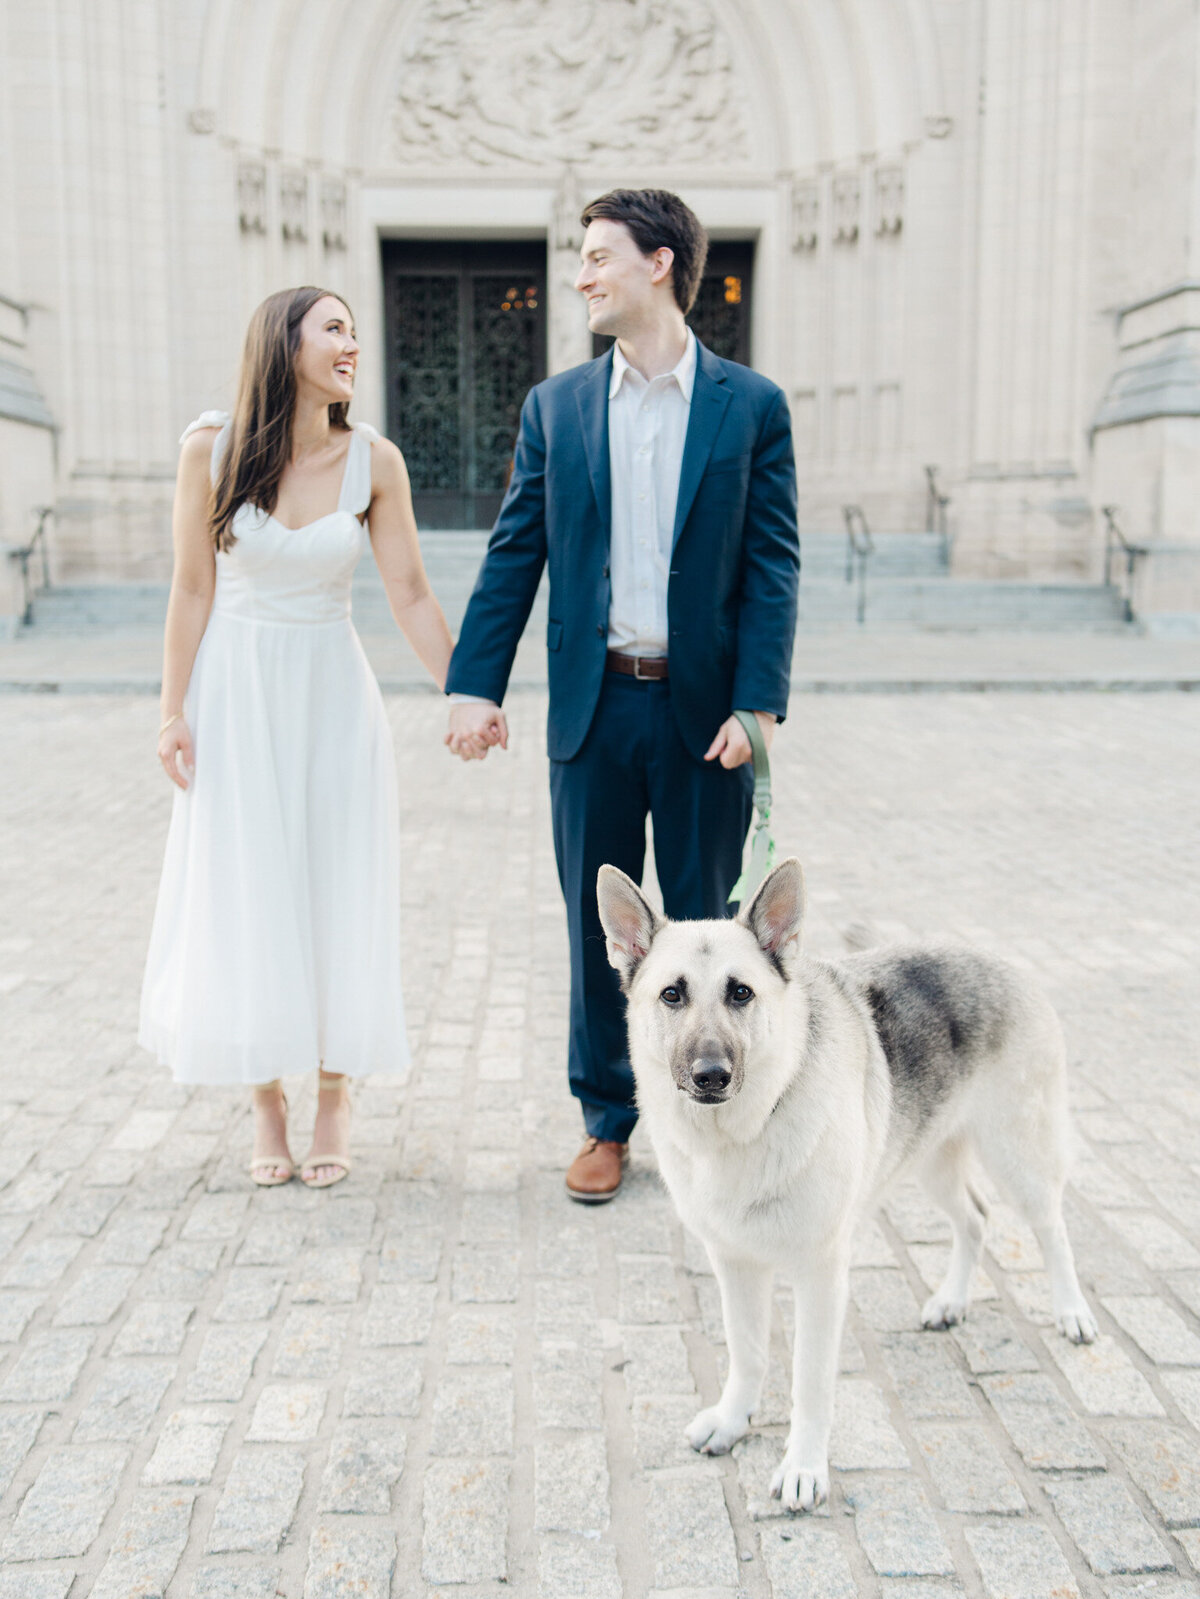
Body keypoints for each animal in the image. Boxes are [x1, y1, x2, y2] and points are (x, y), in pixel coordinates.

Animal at [595, 857, 1100, 1503]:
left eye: (741, 993)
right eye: (671, 995)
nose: (711, 1075)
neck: (745, 1131)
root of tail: (999, 960)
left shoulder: (820, 1278)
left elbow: (810, 1382)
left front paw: (805, 1466)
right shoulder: (735, 1266)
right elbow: (748, 1354)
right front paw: (734, 1421)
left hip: (1019, 1162)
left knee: (1050, 1229)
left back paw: (1072, 1312)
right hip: (930, 1161)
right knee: (976, 1219)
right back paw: (951, 1300)